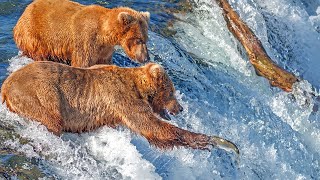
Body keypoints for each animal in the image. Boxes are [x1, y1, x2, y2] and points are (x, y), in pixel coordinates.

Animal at [1, 61, 239, 153]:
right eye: (171, 92)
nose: (180, 108)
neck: (138, 87)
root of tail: (5, 85)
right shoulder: (122, 98)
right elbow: (150, 126)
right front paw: (207, 140)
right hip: (41, 93)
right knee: (51, 118)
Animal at [13, 0, 151, 67]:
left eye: (146, 39)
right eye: (138, 39)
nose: (146, 58)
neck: (104, 34)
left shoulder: (104, 49)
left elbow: (104, 61)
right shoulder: (87, 40)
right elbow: (83, 62)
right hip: (35, 35)